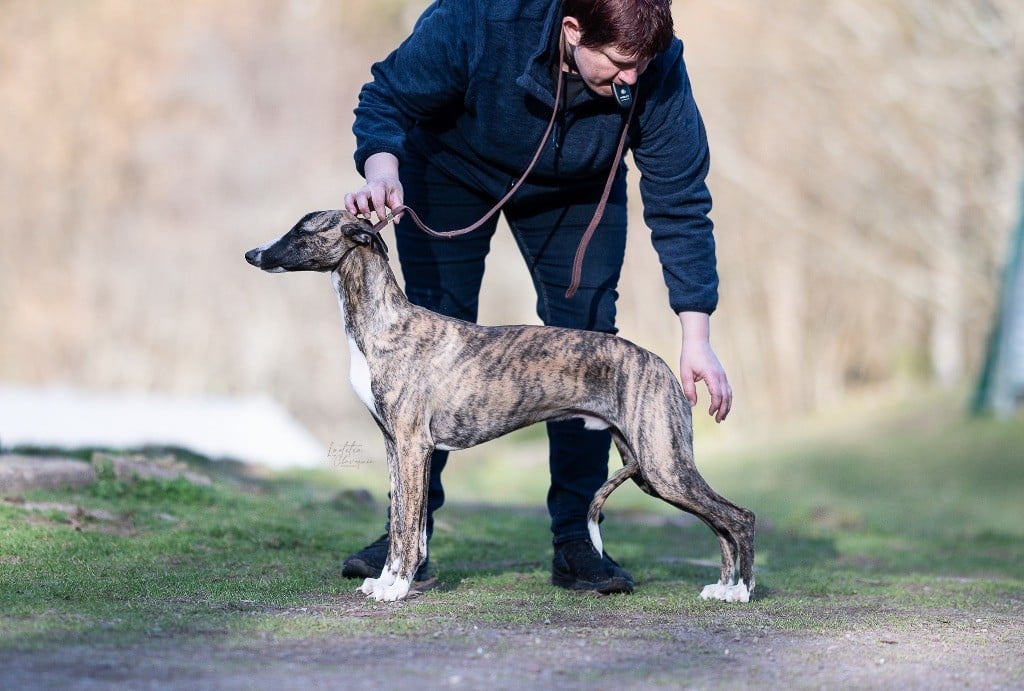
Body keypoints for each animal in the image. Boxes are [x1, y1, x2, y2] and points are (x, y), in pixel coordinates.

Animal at [244, 211, 757, 606]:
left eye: (303, 229)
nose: (253, 255)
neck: (385, 323)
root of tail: (664, 366)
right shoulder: (395, 447)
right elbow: (401, 525)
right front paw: (384, 581)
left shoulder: (413, 447)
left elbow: (408, 529)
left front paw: (398, 588)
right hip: (652, 469)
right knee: (720, 524)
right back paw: (722, 587)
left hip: (664, 465)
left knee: (739, 518)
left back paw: (743, 591)